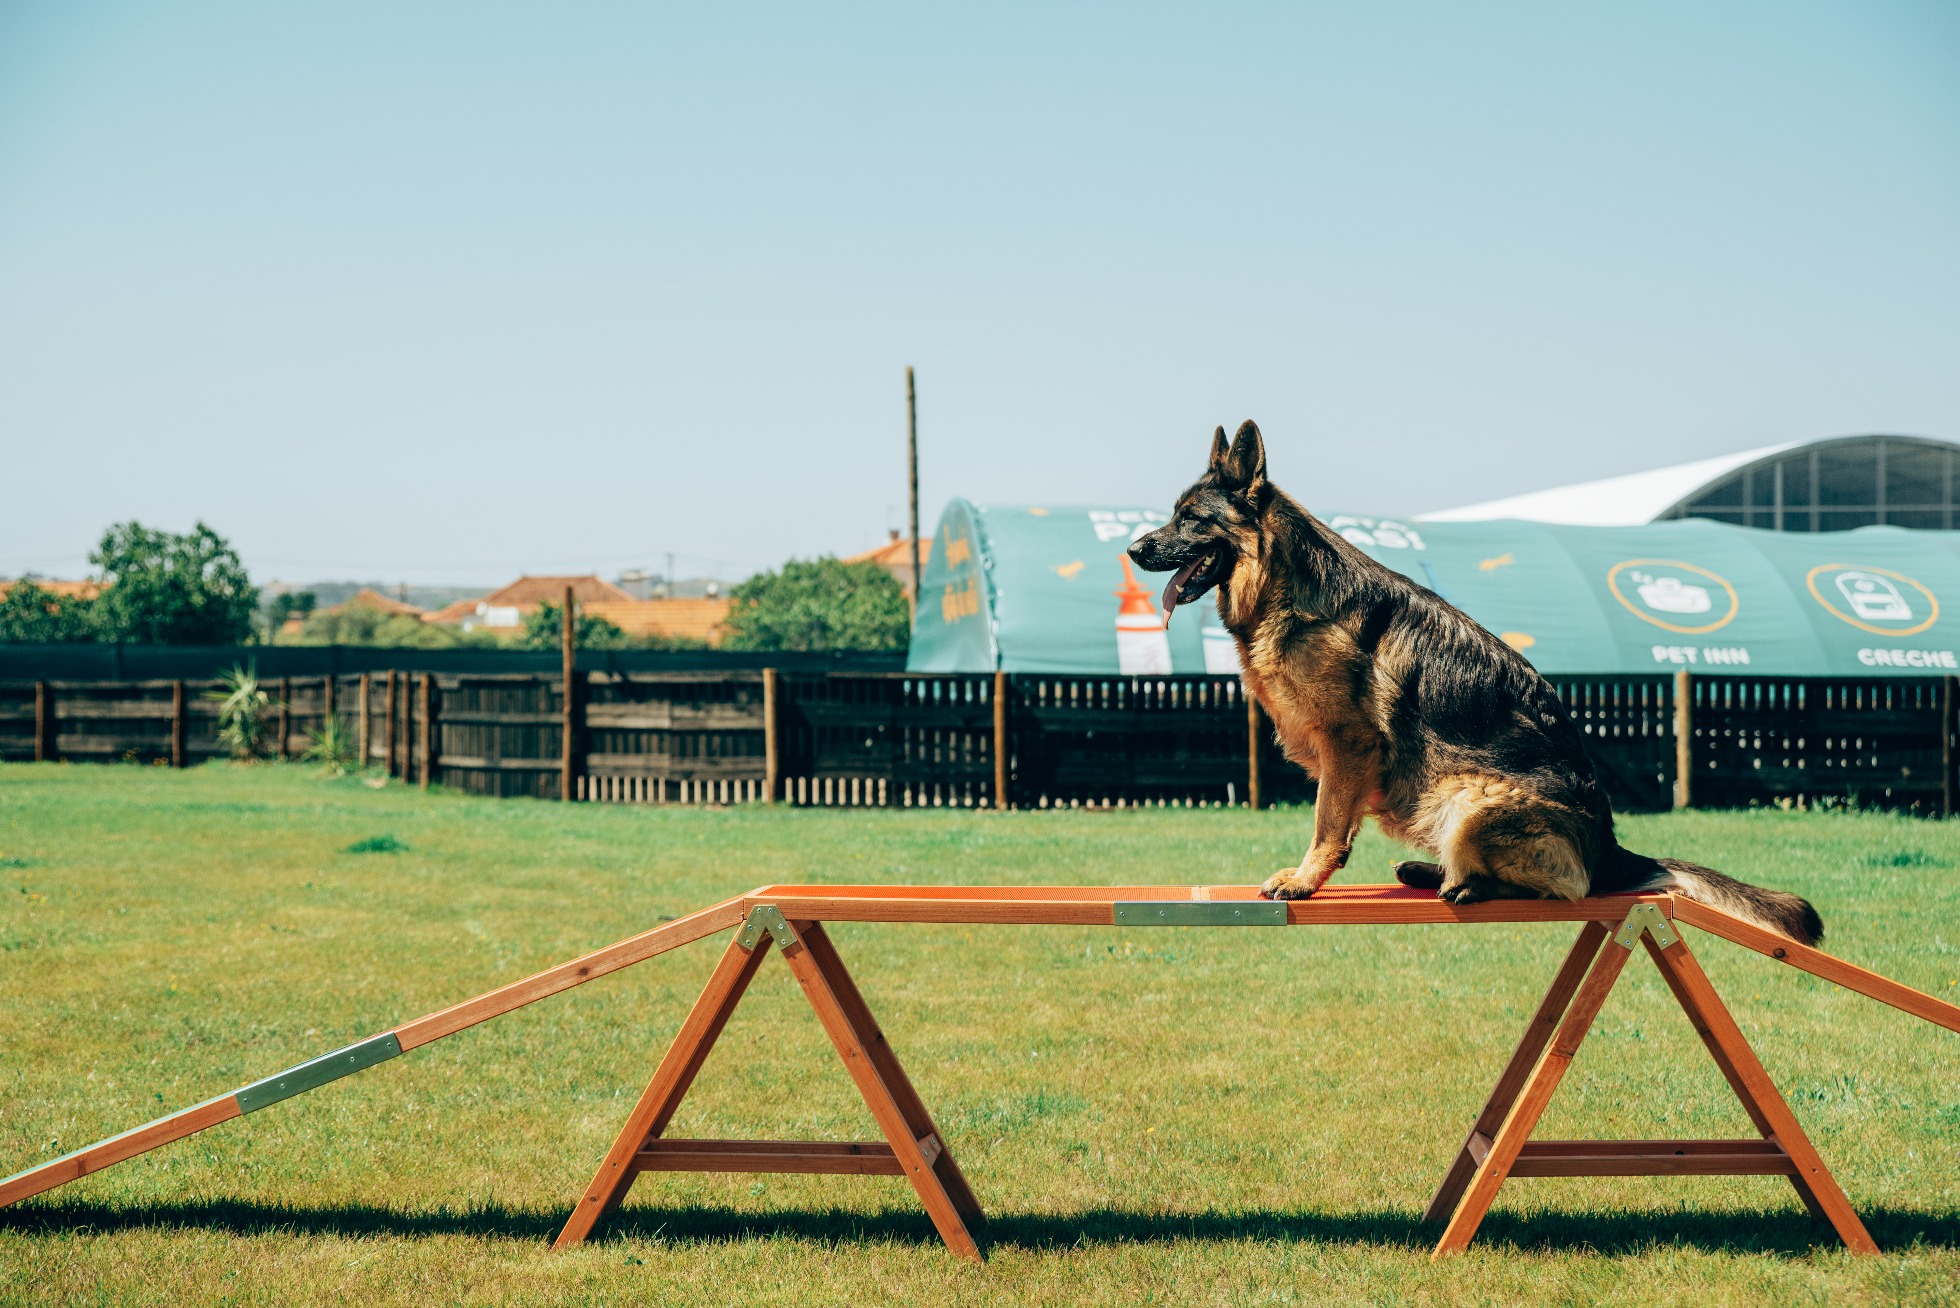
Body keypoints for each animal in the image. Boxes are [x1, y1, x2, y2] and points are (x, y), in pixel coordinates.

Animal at [1128, 419, 1826, 941]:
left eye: (1191, 520)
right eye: (1173, 516)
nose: (1134, 550)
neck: (1283, 585)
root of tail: (1612, 849)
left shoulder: (1347, 742)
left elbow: (1327, 825)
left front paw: (1303, 880)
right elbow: (1335, 822)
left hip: (1469, 798)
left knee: (1566, 886)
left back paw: (1465, 881)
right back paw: (1428, 872)